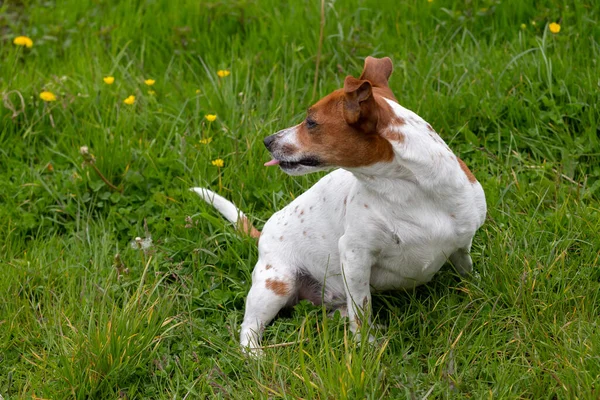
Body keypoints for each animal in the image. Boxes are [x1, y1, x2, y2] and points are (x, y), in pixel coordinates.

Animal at [193, 55, 488, 350]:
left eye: (311, 122)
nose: (267, 140)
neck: (410, 190)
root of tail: (263, 231)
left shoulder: (462, 245)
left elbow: (466, 270)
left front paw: (477, 291)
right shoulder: (355, 256)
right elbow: (362, 309)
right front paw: (365, 346)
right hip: (275, 285)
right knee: (248, 329)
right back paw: (257, 356)